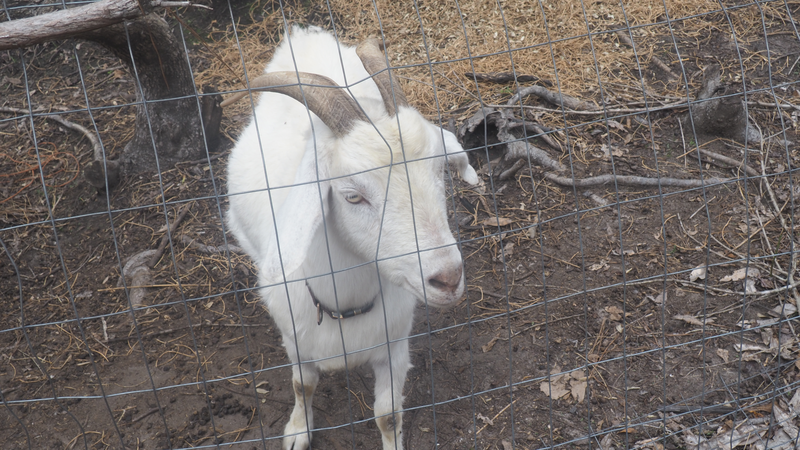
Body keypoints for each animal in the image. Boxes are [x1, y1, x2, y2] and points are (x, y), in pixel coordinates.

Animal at [224, 26, 478, 450]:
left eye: (439, 171)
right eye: (353, 196)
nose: (448, 278)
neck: (346, 306)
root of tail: (304, 36)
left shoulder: (394, 344)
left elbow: (388, 415)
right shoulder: (296, 339)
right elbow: (302, 385)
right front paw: (297, 431)